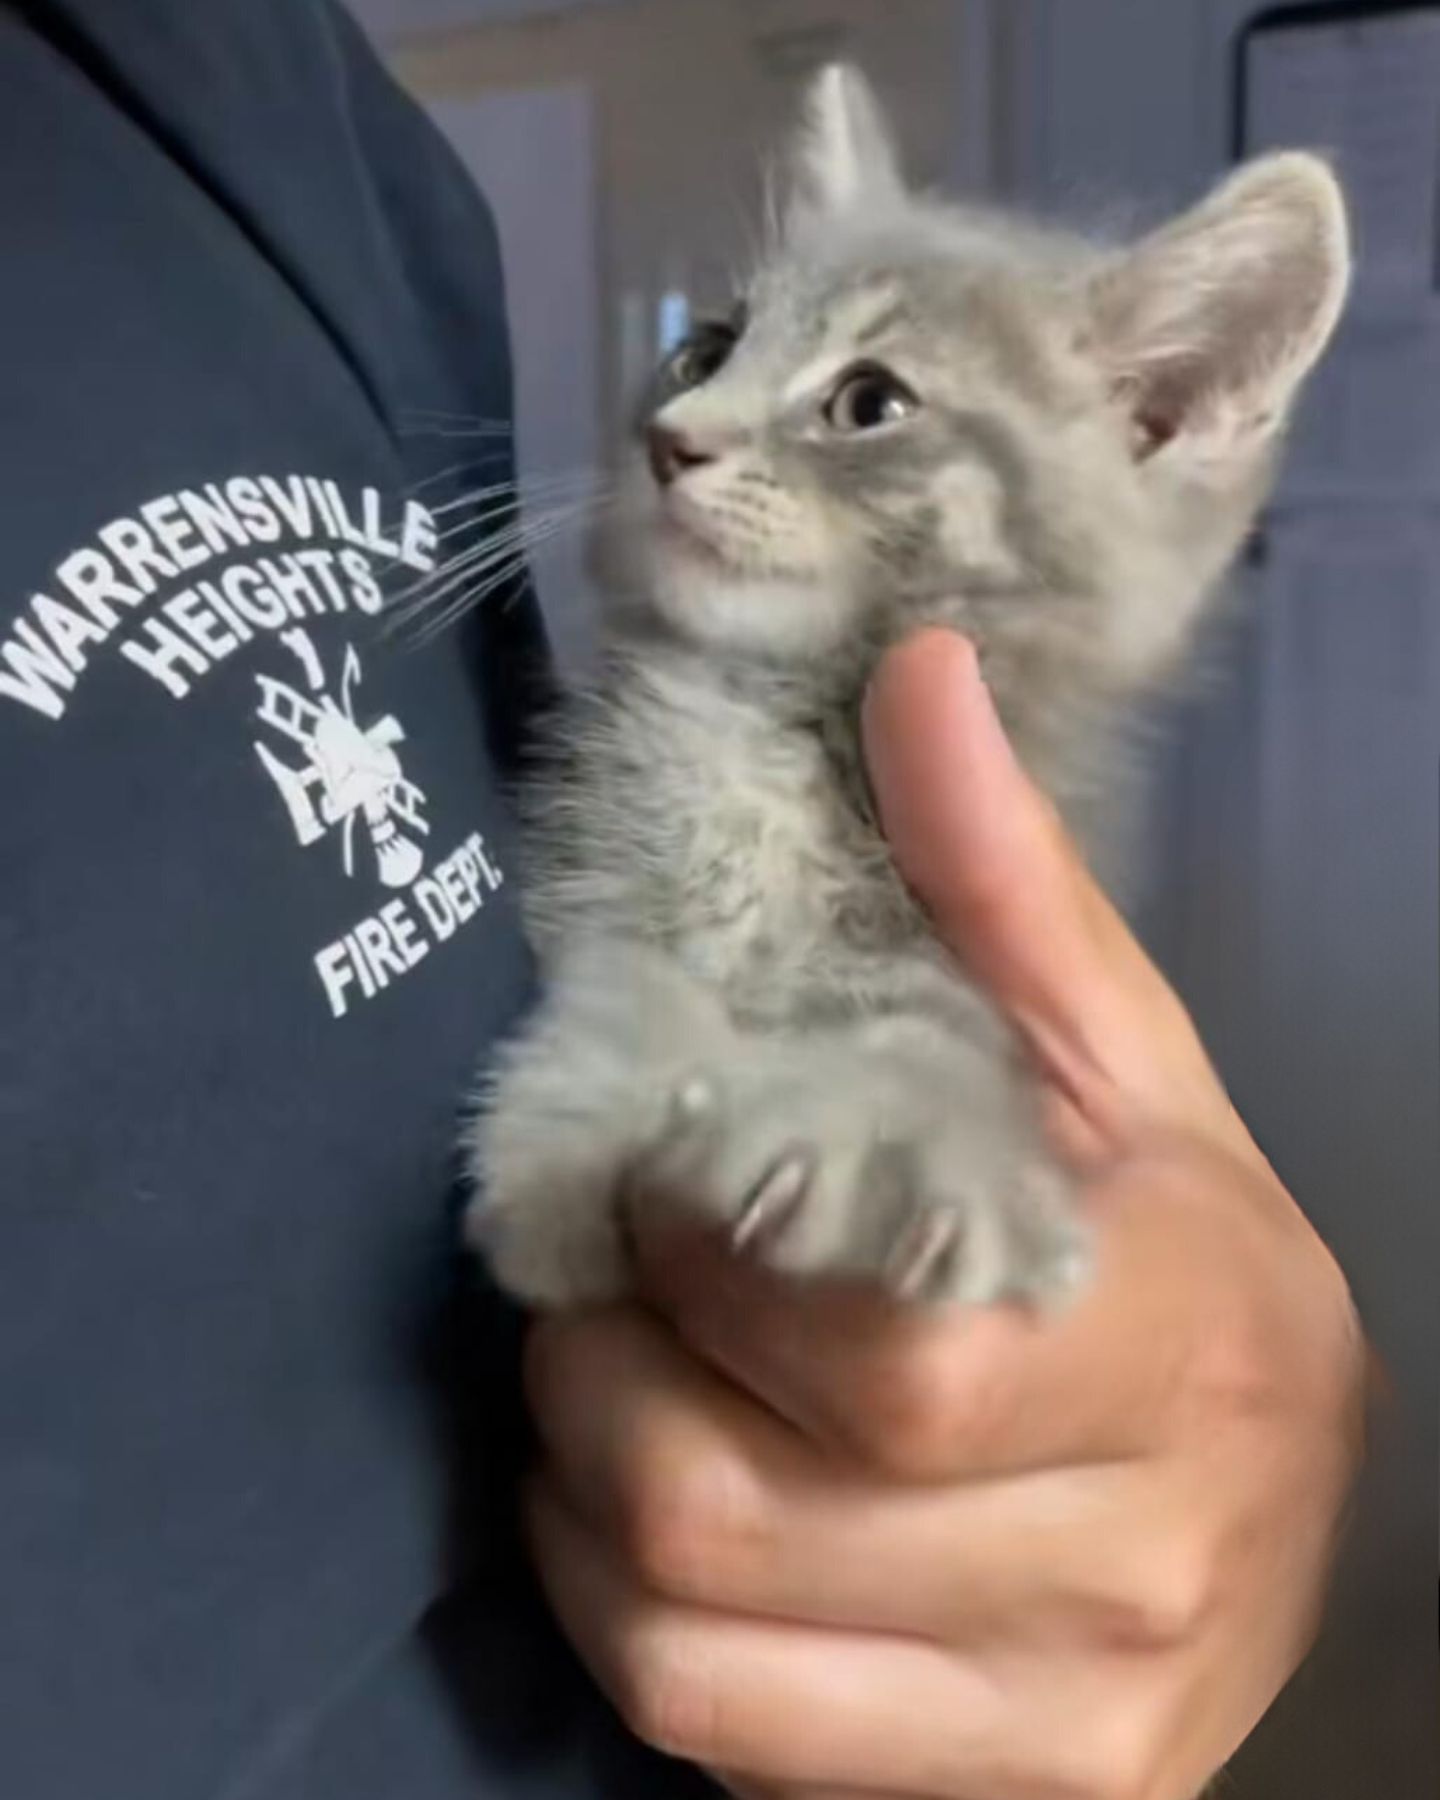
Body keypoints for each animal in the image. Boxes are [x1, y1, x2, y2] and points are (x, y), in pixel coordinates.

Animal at [464, 66, 1353, 1310]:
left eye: (869, 402)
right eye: (707, 350)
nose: (669, 438)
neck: (773, 722)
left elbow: (929, 1034)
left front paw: (882, 1138)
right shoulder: (598, 868)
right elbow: (624, 977)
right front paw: (572, 1143)